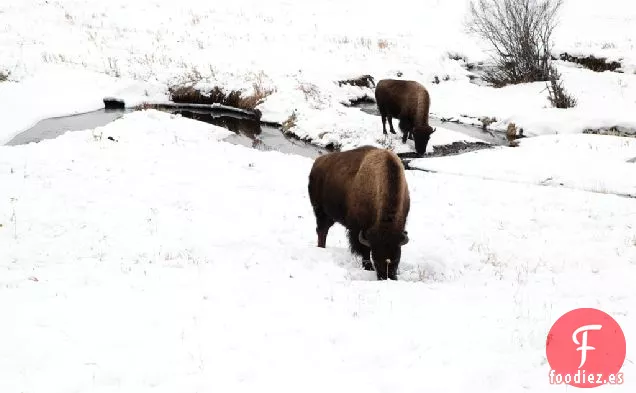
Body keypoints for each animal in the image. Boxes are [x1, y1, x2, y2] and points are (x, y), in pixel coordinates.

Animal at [310, 145, 412, 280]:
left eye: (397, 259)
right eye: (376, 259)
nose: (387, 277)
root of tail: (317, 162)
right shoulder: (358, 230)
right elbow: (364, 249)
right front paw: (368, 267)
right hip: (321, 211)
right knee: (322, 230)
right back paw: (321, 248)